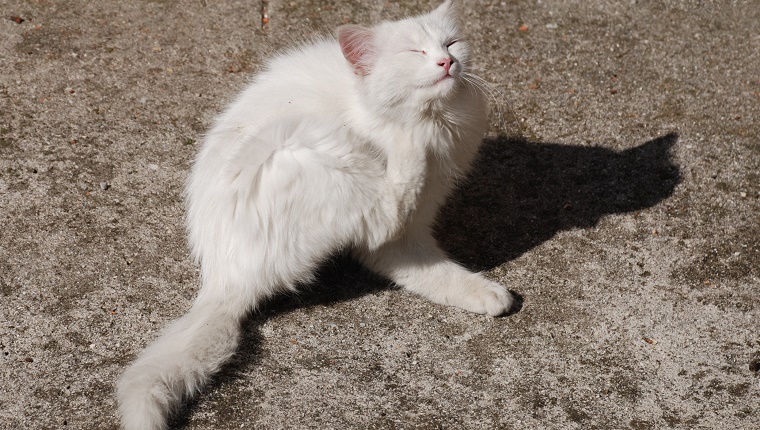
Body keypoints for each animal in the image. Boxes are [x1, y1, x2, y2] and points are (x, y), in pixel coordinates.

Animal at [116, 1, 512, 428]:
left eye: (451, 43)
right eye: (414, 52)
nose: (446, 61)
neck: (440, 123)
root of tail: (222, 278)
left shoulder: (411, 234)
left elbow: (436, 273)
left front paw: (485, 294)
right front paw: (409, 133)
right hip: (304, 145)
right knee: (385, 210)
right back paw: (409, 144)